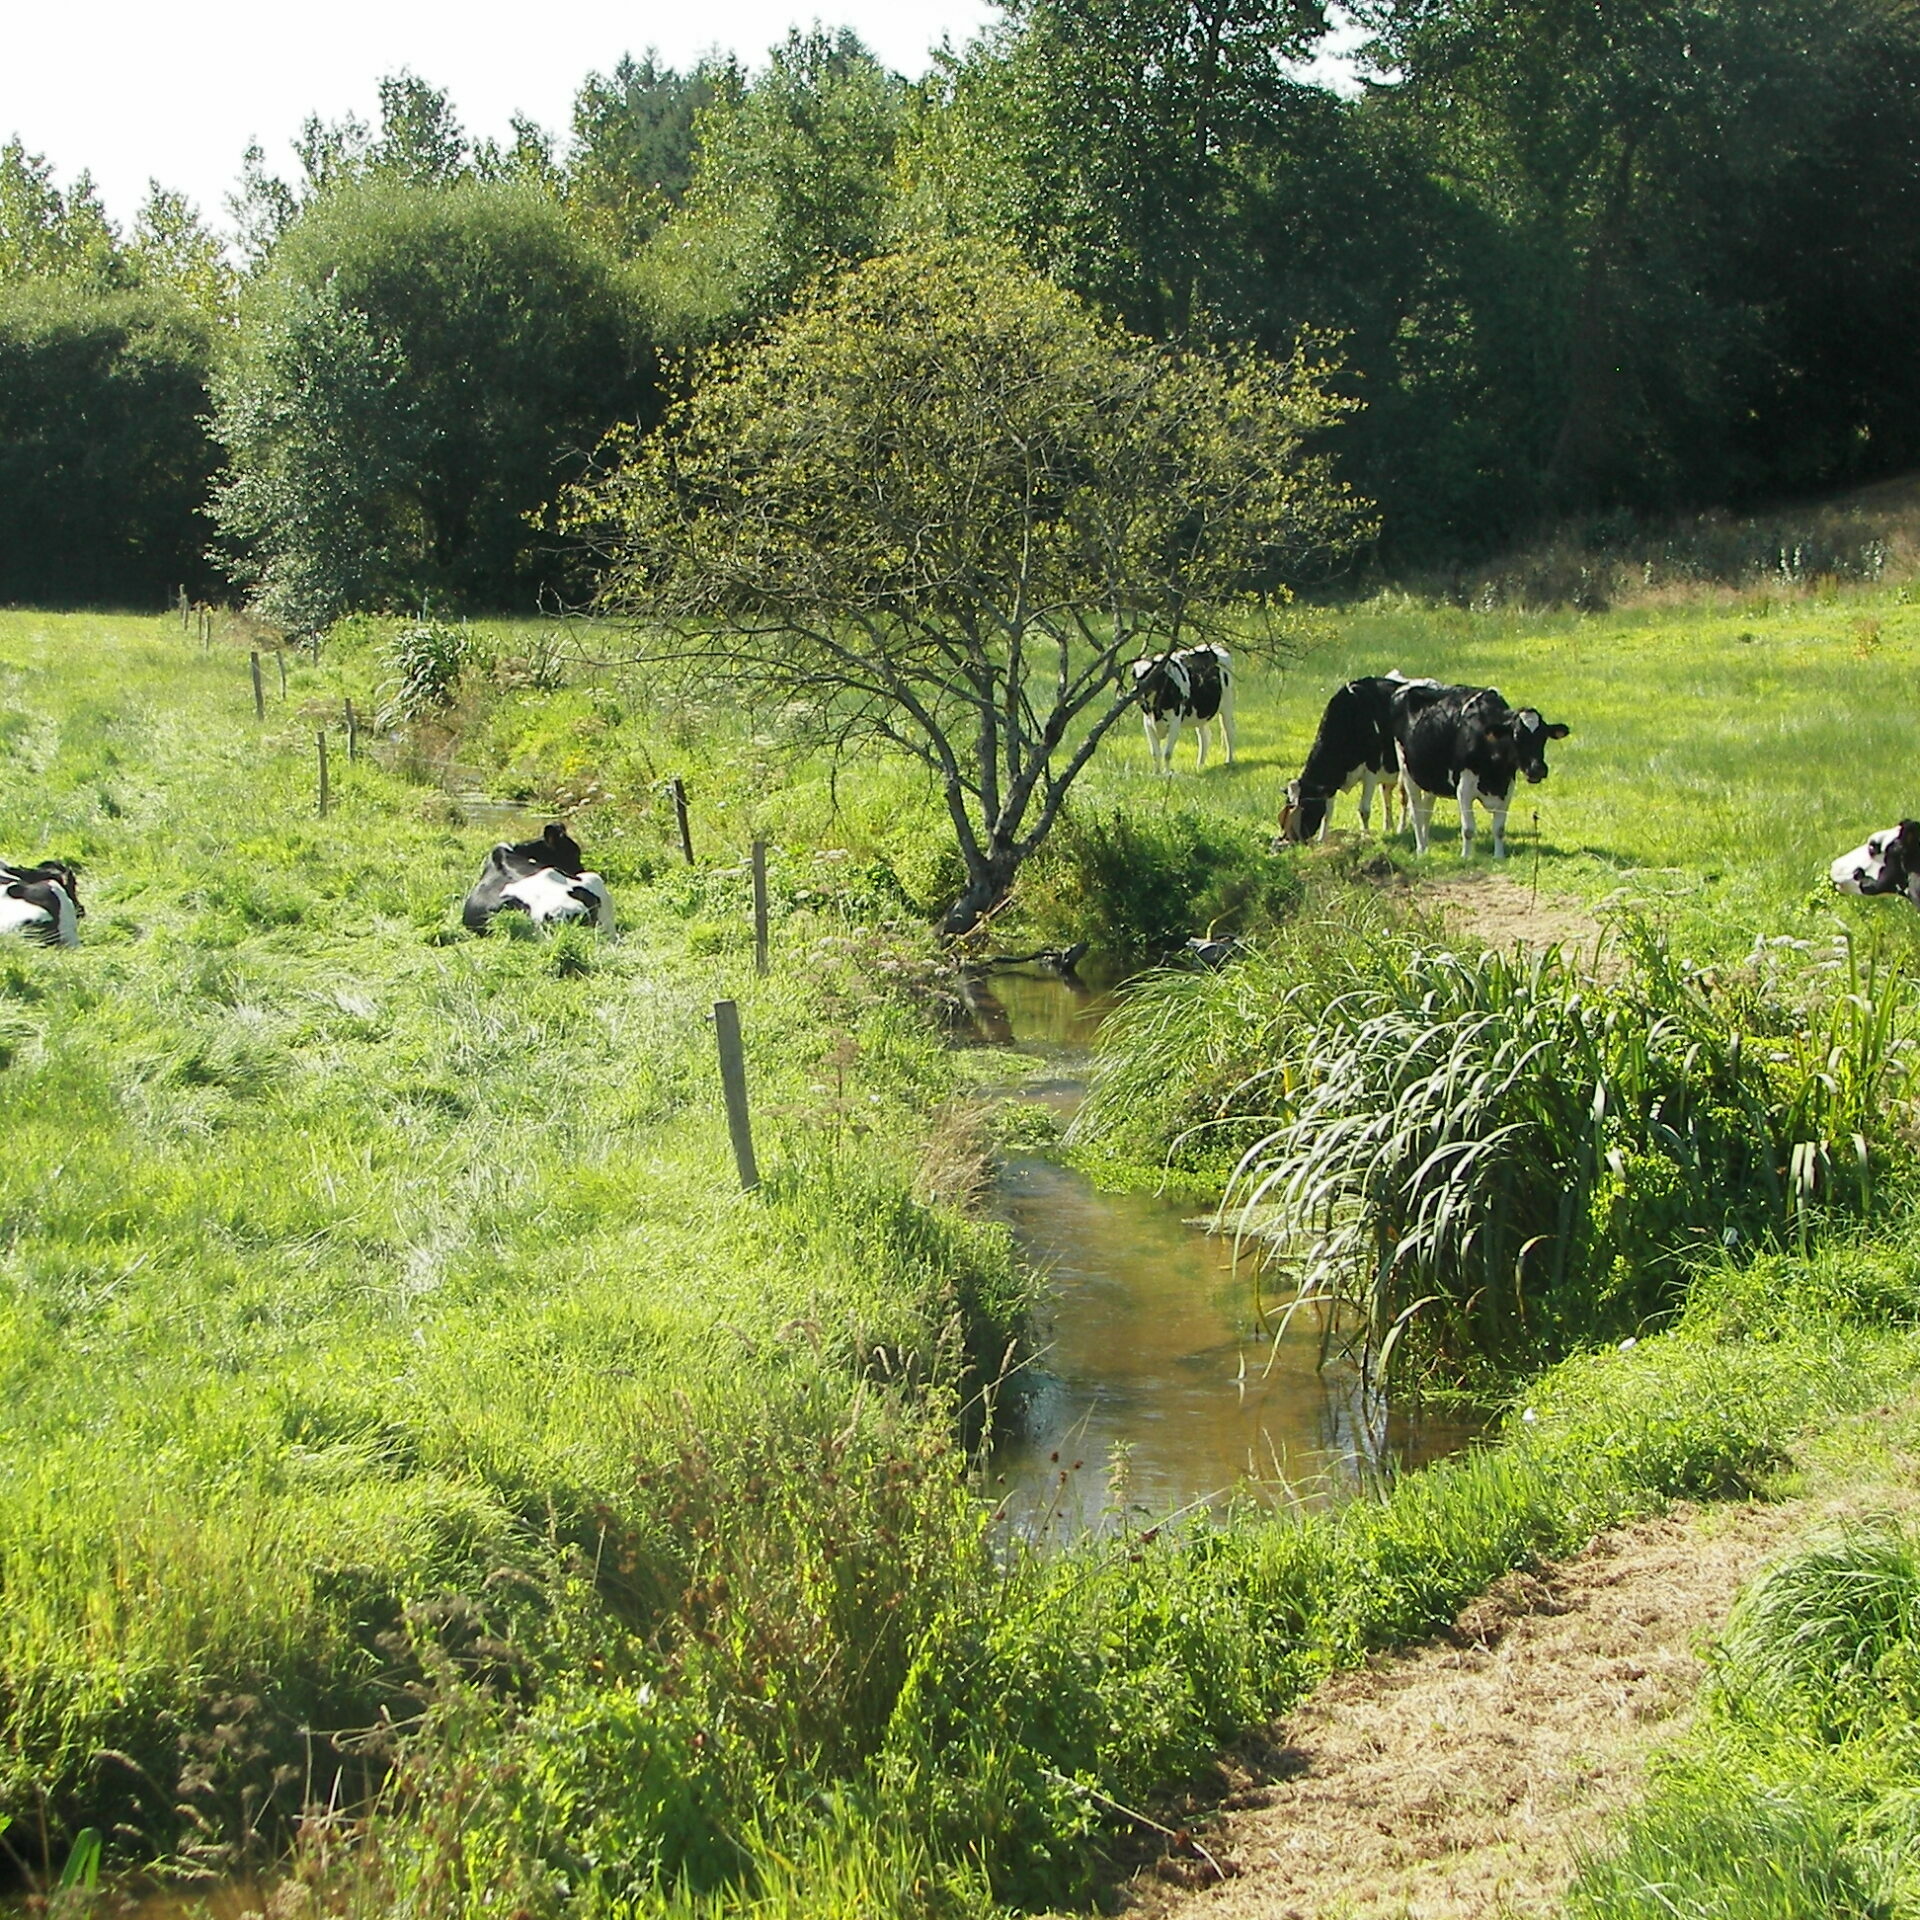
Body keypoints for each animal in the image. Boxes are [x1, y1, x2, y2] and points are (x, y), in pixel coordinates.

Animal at [1128, 637, 1236, 771]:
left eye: (1150, 674)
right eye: (1134, 674)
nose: (1135, 694)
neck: (1156, 710)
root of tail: (1217, 645)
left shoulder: (1175, 723)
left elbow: (1167, 754)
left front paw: (1166, 773)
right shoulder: (1147, 723)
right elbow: (1155, 754)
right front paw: (1156, 773)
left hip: (1227, 704)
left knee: (1229, 731)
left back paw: (1229, 761)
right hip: (1200, 712)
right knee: (1205, 736)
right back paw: (1199, 765)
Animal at [1274, 675, 1443, 840]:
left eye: (1304, 808)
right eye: (1288, 804)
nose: (1288, 838)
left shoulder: (1371, 771)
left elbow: (1364, 810)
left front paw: (1365, 837)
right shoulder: (1331, 782)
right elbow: (1327, 813)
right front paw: (1322, 839)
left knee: (1406, 799)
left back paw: (1403, 828)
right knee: (1387, 794)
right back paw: (1389, 826)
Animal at [1397, 687, 1574, 860]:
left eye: (1544, 736)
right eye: (1516, 735)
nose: (1537, 768)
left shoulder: (1507, 788)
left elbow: (1499, 829)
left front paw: (1499, 856)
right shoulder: (1464, 789)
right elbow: (1468, 829)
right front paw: (1466, 857)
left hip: (1431, 781)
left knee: (1426, 813)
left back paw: (1426, 847)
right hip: (1408, 773)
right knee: (1416, 814)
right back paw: (1421, 849)